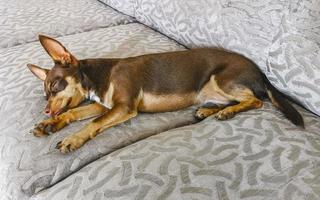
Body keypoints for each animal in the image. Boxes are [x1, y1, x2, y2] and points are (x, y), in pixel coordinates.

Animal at [26, 35, 302, 153]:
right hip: (211, 89)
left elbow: (93, 123)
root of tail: (261, 72)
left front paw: (72, 139)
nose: (46, 109)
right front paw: (51, 124)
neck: (99, 77)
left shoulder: (123, 108)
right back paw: (209, 111)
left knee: (256, 100)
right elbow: (75, 112)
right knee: (240, 99)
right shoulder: (106, 105)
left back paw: (227, 112)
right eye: (45, 95)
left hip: (222, 79)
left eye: (55, 86)